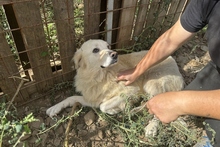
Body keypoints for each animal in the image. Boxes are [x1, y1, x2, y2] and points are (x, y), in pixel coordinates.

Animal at [46, 39, 184, 137]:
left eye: (108, 47)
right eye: (95, 50)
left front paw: (115, 110)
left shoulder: (131, 91)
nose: (115, 54)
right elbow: (71, 97)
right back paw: (135, 110)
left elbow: (103, 106)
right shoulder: (92, 98)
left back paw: (151, 126)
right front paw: (55, 108)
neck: (99, 76)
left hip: (151, 82)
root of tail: (172, 59)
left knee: (158, 107)